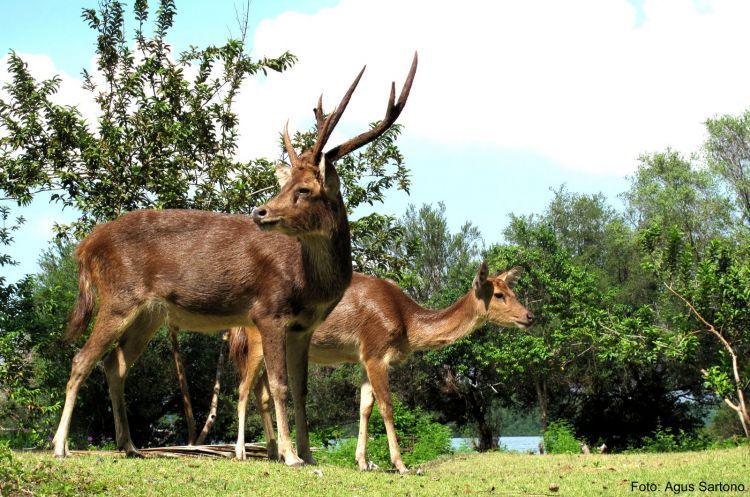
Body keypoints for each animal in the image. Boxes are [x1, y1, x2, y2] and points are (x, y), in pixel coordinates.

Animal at [51, 54, 418, 464]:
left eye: (304, 189)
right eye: (284, 185)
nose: (261, 212)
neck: (310, 284)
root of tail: (85, 246)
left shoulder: (304, 326)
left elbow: (302, 389)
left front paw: (308, 455)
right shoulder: (269, 311)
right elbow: (279, 384)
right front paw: (289, 455)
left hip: (148, 313)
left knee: (114, 364)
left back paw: (128, 445)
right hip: (118, 296)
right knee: (81, 359)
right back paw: (60, 446)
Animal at [229, 262, 536, 470]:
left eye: (512, 289)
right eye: (498, 294)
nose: (530, 316)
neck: (407, 324)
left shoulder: (364, 357)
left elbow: (365, 406)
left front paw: (363, 461)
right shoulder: (376, 352)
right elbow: (387, 406)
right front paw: (400, 464)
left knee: (261, 392)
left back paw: (273, 453)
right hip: (257, 339)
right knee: (243, 389)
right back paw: (243, 452)